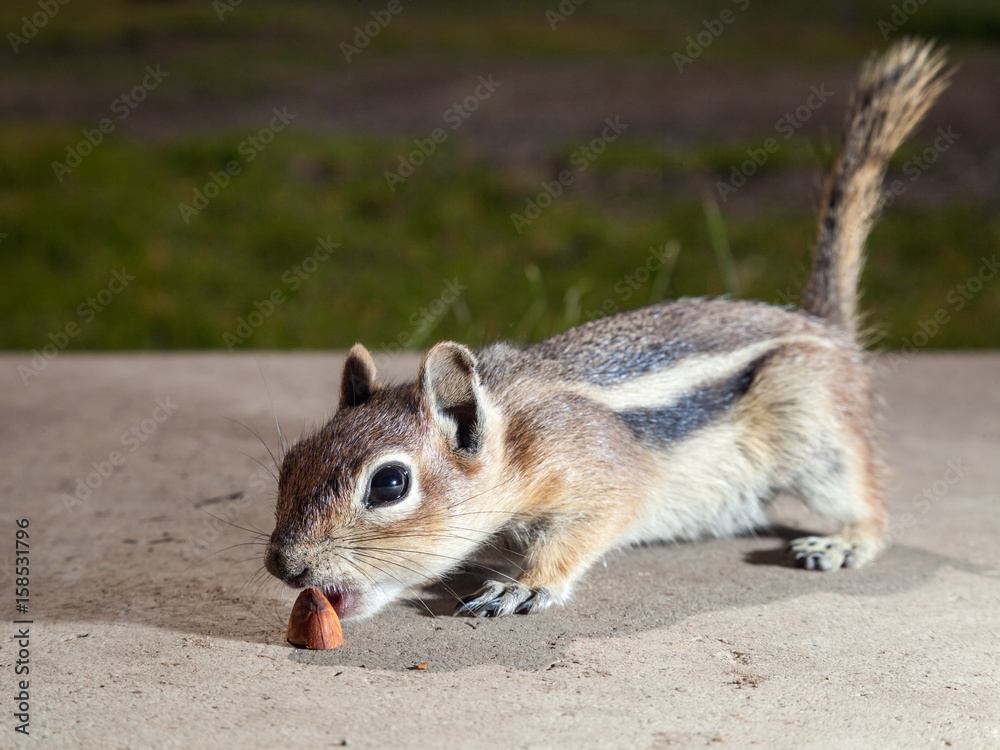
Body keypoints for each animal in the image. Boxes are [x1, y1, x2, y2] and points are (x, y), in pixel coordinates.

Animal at [264, 39, 951, 619]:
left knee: (866, 503)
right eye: (291, 462)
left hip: (815, 429)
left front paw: (523, 584)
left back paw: (842, 542)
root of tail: (820, 321)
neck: (515, 438)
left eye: (389, 484)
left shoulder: (599, 474)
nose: (282, 565)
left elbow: (590, 527)